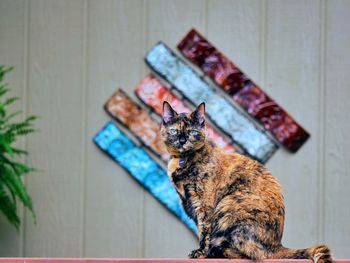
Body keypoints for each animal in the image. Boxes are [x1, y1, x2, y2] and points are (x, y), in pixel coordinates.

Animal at [161, 101, 334, 263]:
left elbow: (205, 231)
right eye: (174, 131)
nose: (182, 140)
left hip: (229, 205)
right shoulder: (189, 202)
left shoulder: (203, 204)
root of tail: (277, 246)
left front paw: (201, 253)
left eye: (192, 132)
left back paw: (216, 252)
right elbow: (200, 229)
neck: (182, 159)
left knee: (252, 255)